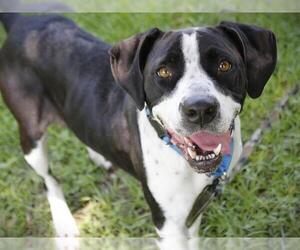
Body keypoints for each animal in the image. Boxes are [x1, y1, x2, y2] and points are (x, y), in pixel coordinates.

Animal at [0, 13, 276, 244]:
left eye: (224, 65)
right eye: (163, 71)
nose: (200, 109)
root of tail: (24, 20)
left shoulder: (193, 210)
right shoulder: (169, 225)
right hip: (32, 137)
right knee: (48, 179)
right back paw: (64, 221)